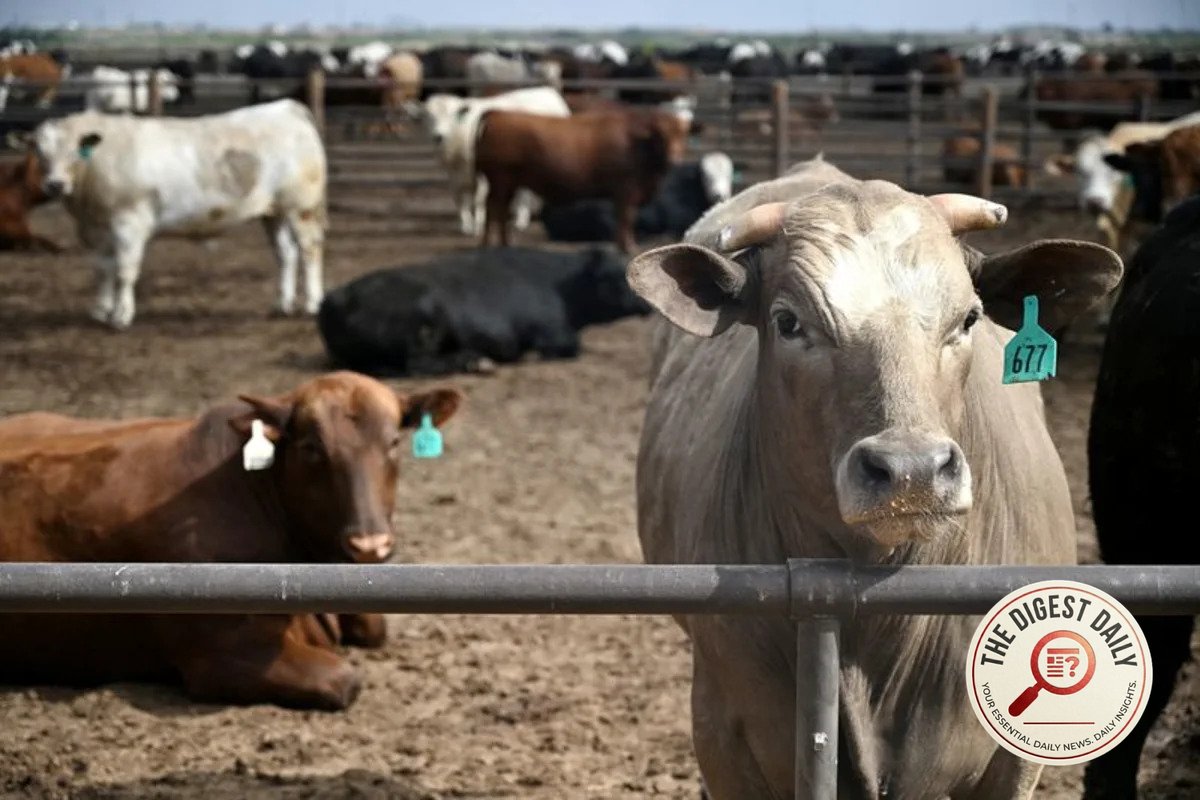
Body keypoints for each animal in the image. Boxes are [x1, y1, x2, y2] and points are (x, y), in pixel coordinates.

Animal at [0, 371, 462, 710]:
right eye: (312, 447)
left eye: (394, 442)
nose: (369, 545)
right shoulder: (224, 655)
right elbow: (345, 680)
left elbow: (373, 627)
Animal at [23, 98, 326, 329]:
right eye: (39, 150)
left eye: (75, 150)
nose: (55, 184)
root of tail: (286, 108)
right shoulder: (95, 229)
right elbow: (102, 269)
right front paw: (100, 310)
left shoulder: (129, 223)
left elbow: (124, 271)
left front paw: (121, 316)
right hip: (274, 212)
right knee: (286, 254)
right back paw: (281, 304)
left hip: (302, 208)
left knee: (309, 249)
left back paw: (312, 303)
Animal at [316, 246, 650, 377]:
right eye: (613, 276)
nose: (647, 302)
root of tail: (334, 297)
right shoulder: (551, 332)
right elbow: (568, 346)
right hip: (424, 319)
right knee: (418, 364)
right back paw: (476, 361)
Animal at [409, 87, 570, 237]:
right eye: (428, 116)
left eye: (452, 116)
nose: (438, 136)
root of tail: (547, 91)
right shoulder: (453, 174)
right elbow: (459, 199)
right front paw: (466, 225)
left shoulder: (482, 174)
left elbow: (479, 199)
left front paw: (478, 226)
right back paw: (521, 219)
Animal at [475, 107, 693, 253]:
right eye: (660, 136)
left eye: (682, 135)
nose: (674, 159)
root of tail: (498, 113)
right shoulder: (626, 190)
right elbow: (626, 219)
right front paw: (627, 247)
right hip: (500, 180)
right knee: (492, 209)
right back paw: (486, 245)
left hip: (509, 183)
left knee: (501, 210)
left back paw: (505, 244)